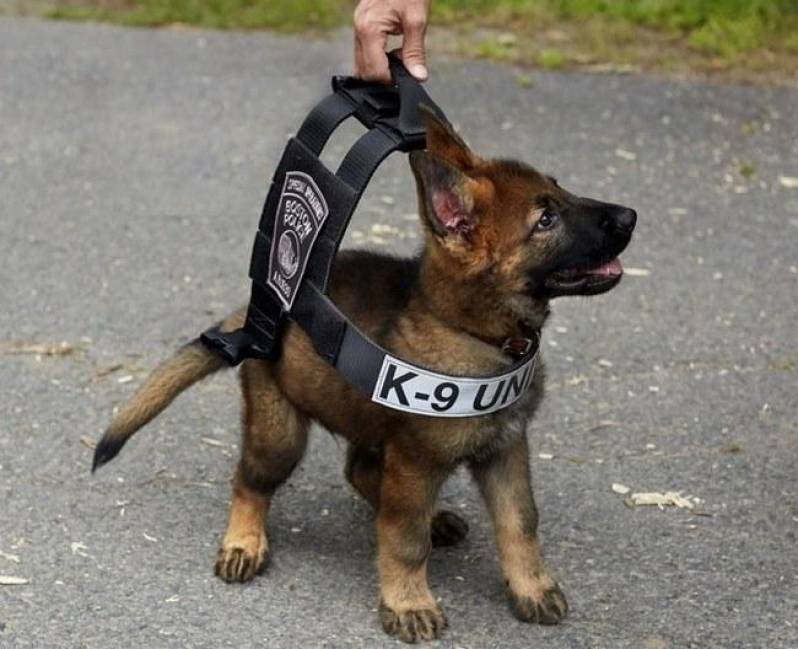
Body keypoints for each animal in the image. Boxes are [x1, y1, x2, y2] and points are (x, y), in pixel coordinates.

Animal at [94, 111, 640, 644]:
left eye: (561, 191)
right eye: (546, 220)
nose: (630, 216)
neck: (474, 333)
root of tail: (255, 314)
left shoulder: (506, 449)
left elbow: (520, 522)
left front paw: (531, 587)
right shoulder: (417, 461)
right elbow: (404, 539)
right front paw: (408, 602)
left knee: (361, 471)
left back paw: (431, 517)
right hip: (281, 433)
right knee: (251, 480)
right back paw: (244, 541)